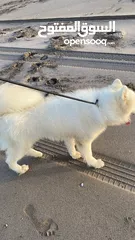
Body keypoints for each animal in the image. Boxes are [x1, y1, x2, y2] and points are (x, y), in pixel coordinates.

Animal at [0, 79, 135, 174]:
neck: (99, 106)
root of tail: (4, 115)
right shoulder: (84, 141)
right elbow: (88, 154)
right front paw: (94, 164)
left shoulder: (69, 135)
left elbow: (70, 147)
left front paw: (74, 155)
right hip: (21, 144)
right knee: (10, 161)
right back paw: (20, 169)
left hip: (25, 141)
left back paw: (37, 153)